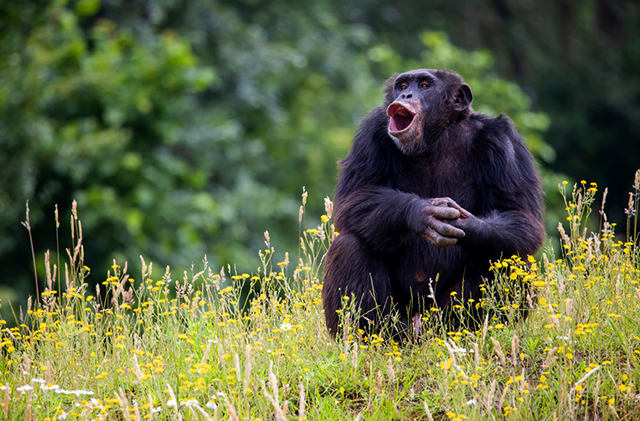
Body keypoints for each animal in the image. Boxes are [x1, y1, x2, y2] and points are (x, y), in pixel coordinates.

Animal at [324, 69, 544, 338]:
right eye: (403, 85)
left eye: (425, 85)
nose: (406, 95)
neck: (437, 135)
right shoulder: (371, 133)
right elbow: (354, 197)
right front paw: (422, 213)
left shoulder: (503, 142)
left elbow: (520, 215)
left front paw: (467, 224)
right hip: (398, 320)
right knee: (348, 245)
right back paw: (368, 339)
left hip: (439, 319)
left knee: (511, 259)